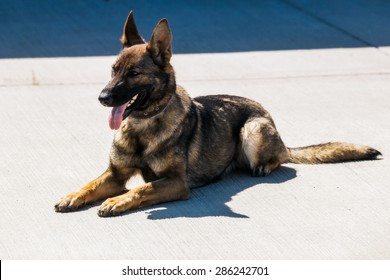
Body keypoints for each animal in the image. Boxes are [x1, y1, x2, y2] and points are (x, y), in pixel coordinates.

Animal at [54, 10, 380, 217]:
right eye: (113, 70)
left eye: (134, 74)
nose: (102, 98)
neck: (143, 127)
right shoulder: (115, 174)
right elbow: (91, 184)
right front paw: (73, 196)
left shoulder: (175, 183)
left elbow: (140, 189)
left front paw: (116, 201)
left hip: (253, 128)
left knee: (279, 158)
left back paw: (264, 165)